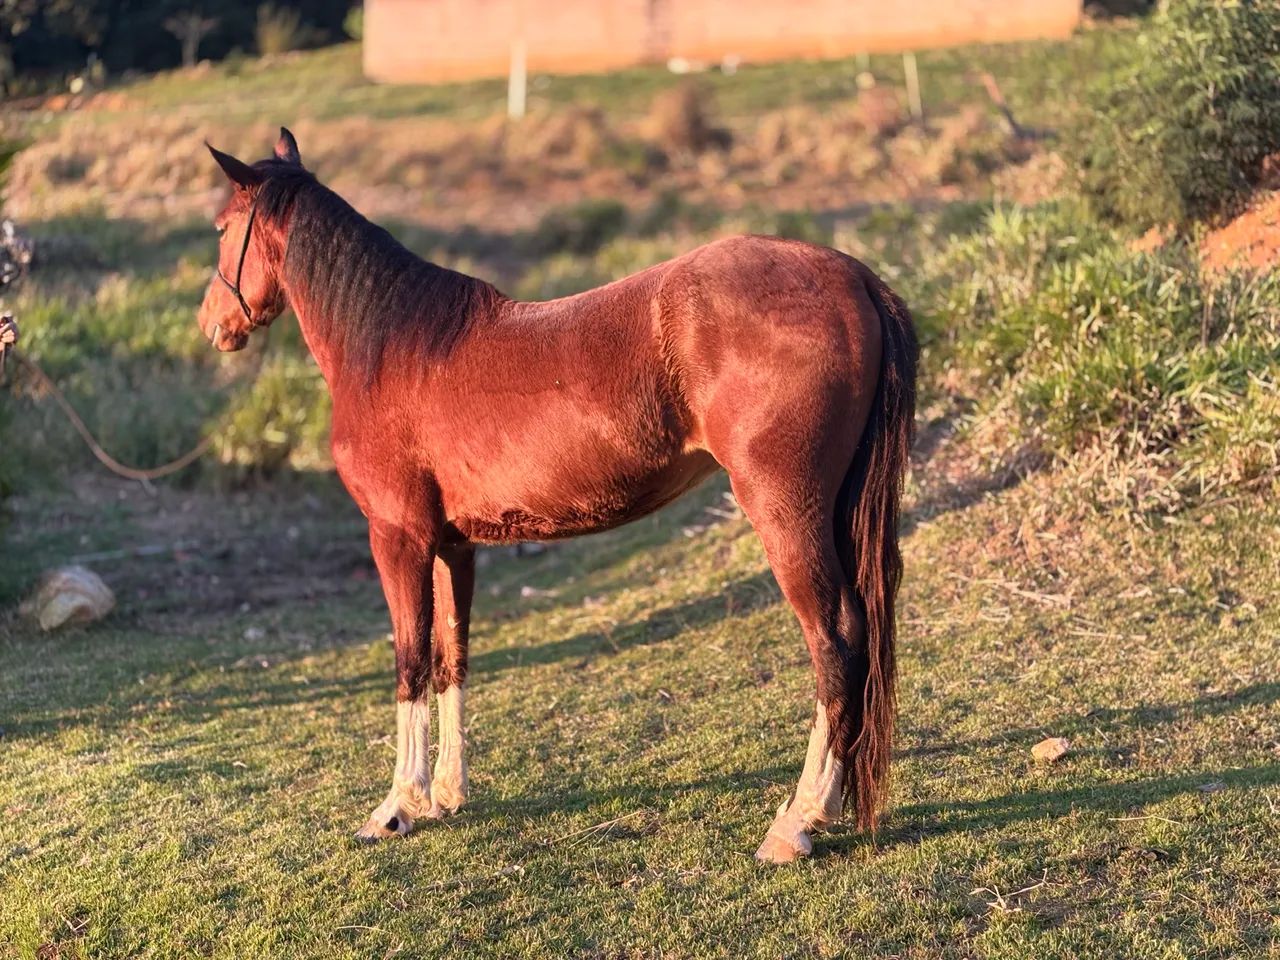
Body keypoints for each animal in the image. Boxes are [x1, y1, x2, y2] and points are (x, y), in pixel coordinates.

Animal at [196, 129, 917, 863]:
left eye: (222, 227)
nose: (211, 323)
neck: (392, 344)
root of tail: (852, 277)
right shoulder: (452, 546)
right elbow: (452, 657)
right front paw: (446, 797)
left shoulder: (398, 539)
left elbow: (410, 662)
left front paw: (397, 806)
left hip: (786, 513)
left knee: (835, 638)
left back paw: (797, 821)